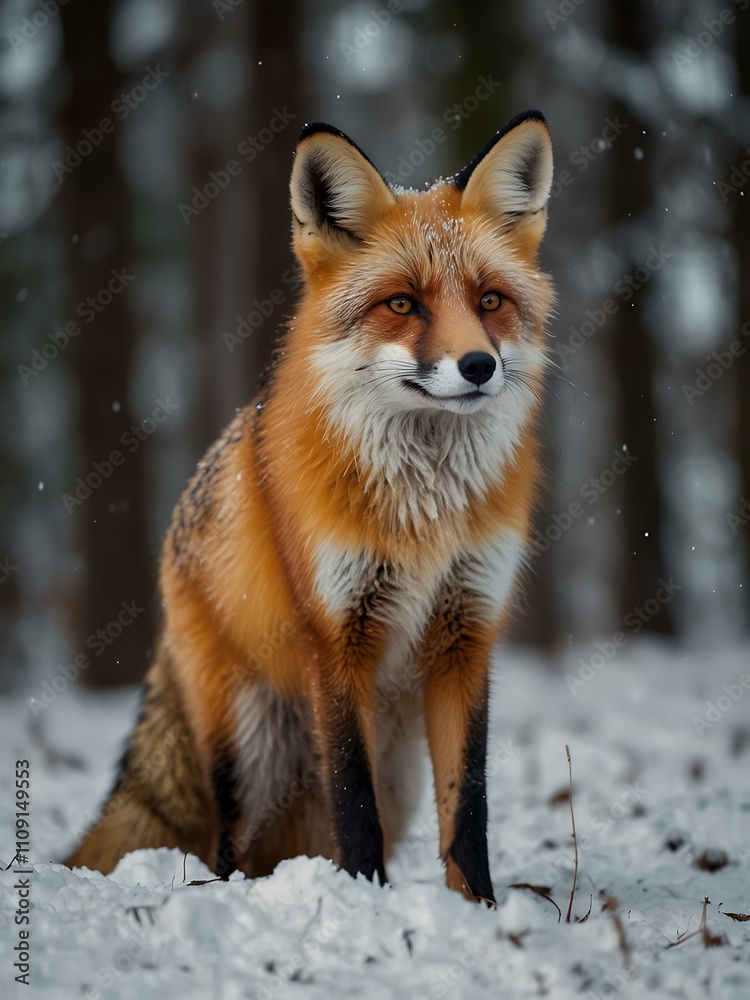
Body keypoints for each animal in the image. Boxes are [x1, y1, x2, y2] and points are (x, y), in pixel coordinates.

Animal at [66, 110, 555, 904]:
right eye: (402, 304)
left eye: (490, 301)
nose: (478, 365)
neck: (425, 511)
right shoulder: (336, 639)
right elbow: (353, 805)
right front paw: (364, 901)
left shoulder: (467, 635)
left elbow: (469, 811)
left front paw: (478, 910)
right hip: (248, 748)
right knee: (227, 849)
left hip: (396, 768)